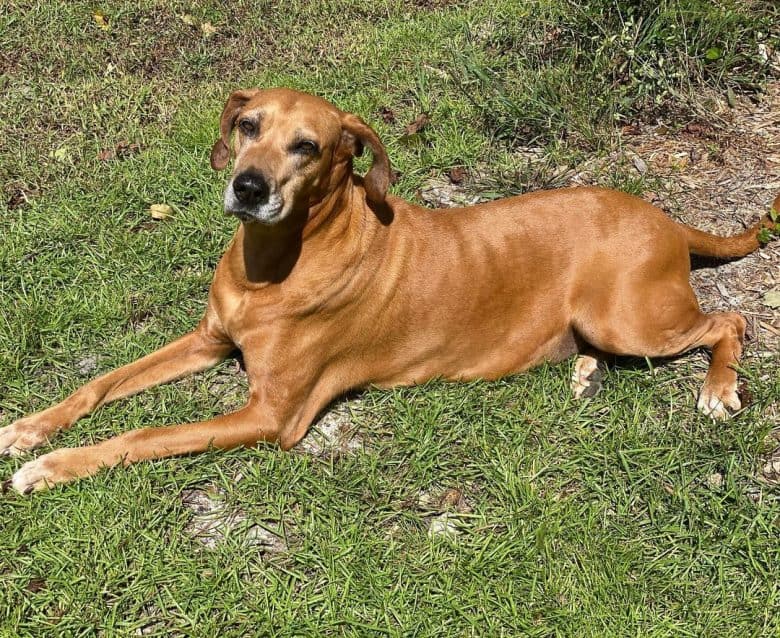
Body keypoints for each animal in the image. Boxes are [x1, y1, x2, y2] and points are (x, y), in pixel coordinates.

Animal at [3, 86, 776, 496]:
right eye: (249, 125)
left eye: (308, 147)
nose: (247, 188)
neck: (273, 263)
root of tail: (665, 217)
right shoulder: (206, 340)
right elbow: (101, 383)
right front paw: (31, 428)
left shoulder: (271, 416)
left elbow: (145, 433)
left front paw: (54, 466)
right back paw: (585, 370)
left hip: (627, 316)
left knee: (728, 319)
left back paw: (717, 387)